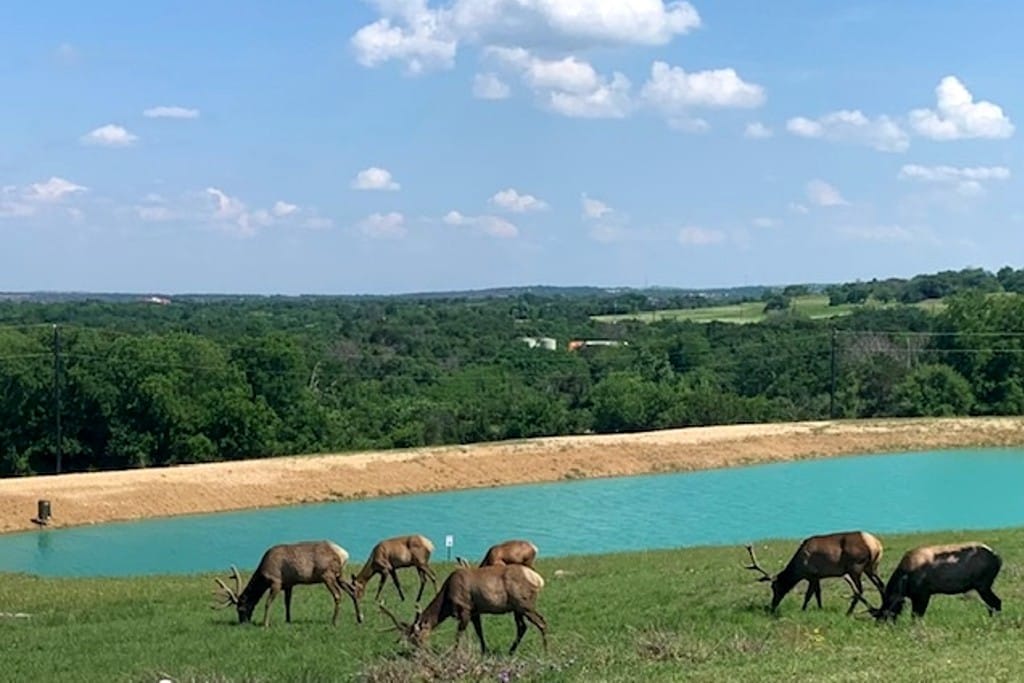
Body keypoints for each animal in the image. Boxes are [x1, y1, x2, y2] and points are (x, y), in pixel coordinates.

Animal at [211, 540, 364, 626]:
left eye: (240, 609)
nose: (243, 622)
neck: (263, 575)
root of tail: (344, 554)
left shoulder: (276, 582)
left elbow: (267, 603)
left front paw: (265, 623)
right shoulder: (289, 584)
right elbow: (287, 603)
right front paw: (288, 620)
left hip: (327, 575)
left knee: (338, 595)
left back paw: (334, 622)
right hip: (339, 575)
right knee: (352, 590)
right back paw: (360, 618)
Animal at [380, 565, 548, 655]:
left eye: (417, 637)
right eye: (411, 640)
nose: (422, 652)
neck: (447, 602)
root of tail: (538, 579)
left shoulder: (465, 609)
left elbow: (458, 634)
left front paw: (454, 653)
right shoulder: (475, 611)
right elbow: (480, 632)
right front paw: (484, 651)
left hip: (524, 605)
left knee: (542, 622)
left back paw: (545, 651)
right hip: (517, 609)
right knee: (523, 627)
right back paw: (511, 651)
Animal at [745, 528, 888, 614]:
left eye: (774, 587)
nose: (773, 606)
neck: (799, 568)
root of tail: (876, 545)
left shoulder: (812, 575)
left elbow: (809, 594)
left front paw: (803, 609)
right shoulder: (818, 576)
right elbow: (818, 593)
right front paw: (820, 608)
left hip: (855, 567)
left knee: (859, 590)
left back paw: (849, 612)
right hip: (872, 567)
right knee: (881, 585)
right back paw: (882, 608)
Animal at [868, 540, 1003, 622]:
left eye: (885, 611)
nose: (880, 624)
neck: (905, 575)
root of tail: (997, 557)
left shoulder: (923, 595)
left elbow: (916, 616)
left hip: (983, 586)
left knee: (996, 602)